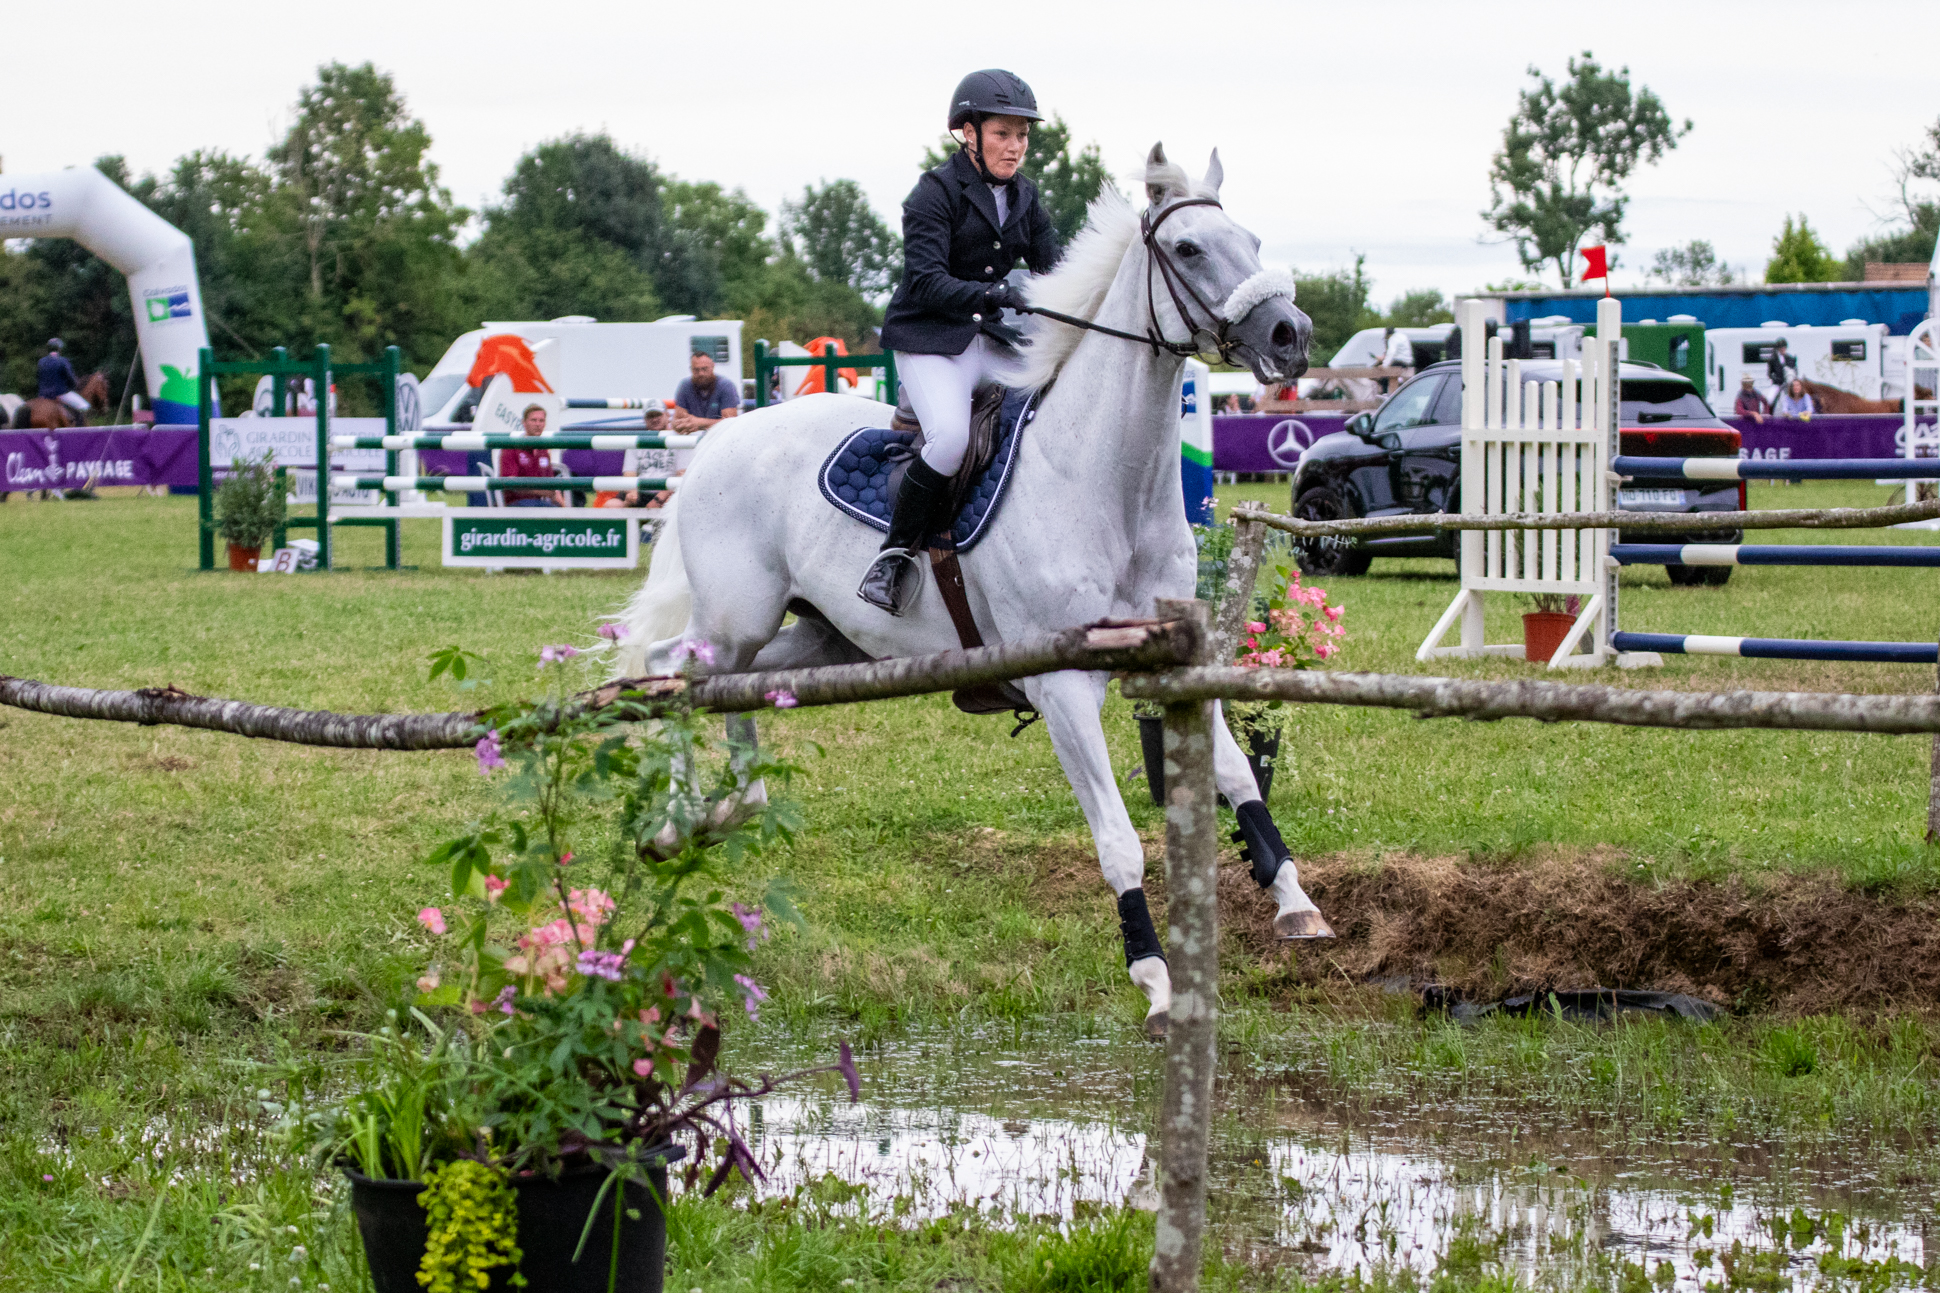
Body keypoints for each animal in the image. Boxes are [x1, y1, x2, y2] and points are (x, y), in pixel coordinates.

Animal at [610, 144, 1332, 1035]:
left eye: (1252, 239)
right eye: (1189, 249)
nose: (1291, 336)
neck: (1107, 483)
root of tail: (718, 439)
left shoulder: (1173, 663)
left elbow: (1237, 778)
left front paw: (1296, 901)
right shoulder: (1062, 685)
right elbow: (1119, 840)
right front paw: (1156, 977)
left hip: (822, 636)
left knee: (724, 684)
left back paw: (729, 805)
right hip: (734, 618)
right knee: (678, 670)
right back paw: (677, 822)